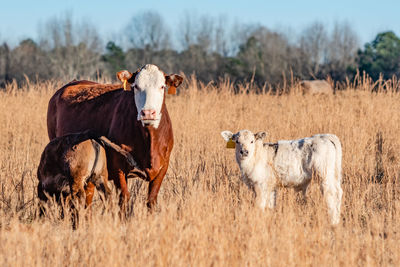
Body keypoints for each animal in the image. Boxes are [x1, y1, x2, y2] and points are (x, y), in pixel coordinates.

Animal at [47, 63, 183, 208]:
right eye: (136, 86)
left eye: (162, 86)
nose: (148, 113)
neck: (149, 140)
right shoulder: (119, 168)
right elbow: (124, 198)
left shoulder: (162, 168)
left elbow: (151, 200)